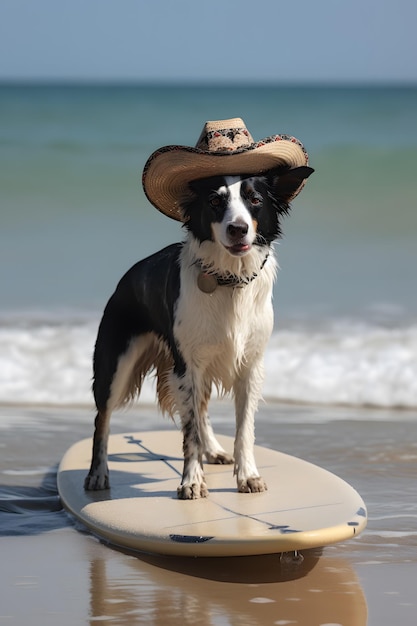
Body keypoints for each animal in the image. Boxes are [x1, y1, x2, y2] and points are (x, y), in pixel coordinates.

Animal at [84, 165, 312, 498]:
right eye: (215, 202)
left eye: (255, 199)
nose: (238, 229)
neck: (230, 279)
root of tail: (125, 279)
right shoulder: (187, 365)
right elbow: (189, 431)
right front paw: (191, 481)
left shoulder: (249, 366)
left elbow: (244, 429)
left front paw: (248, 476)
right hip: (116, 364)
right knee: (103, 418)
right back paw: (98, 474)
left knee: (201, 409)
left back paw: (214, 449)